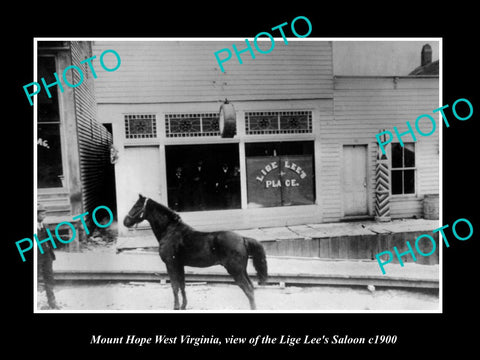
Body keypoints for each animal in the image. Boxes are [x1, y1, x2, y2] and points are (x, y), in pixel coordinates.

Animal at [122, 194, 268, 310]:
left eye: (136, 205)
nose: (125, 221)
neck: (170, 231)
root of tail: (242, 238)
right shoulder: (179, 265)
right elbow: (182, 285)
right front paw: (183, 306)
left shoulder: (170, 264)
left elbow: (174, 286)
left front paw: (176, 307)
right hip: (242, 270)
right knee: (251, 288)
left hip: (235, 271)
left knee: (248, 290)